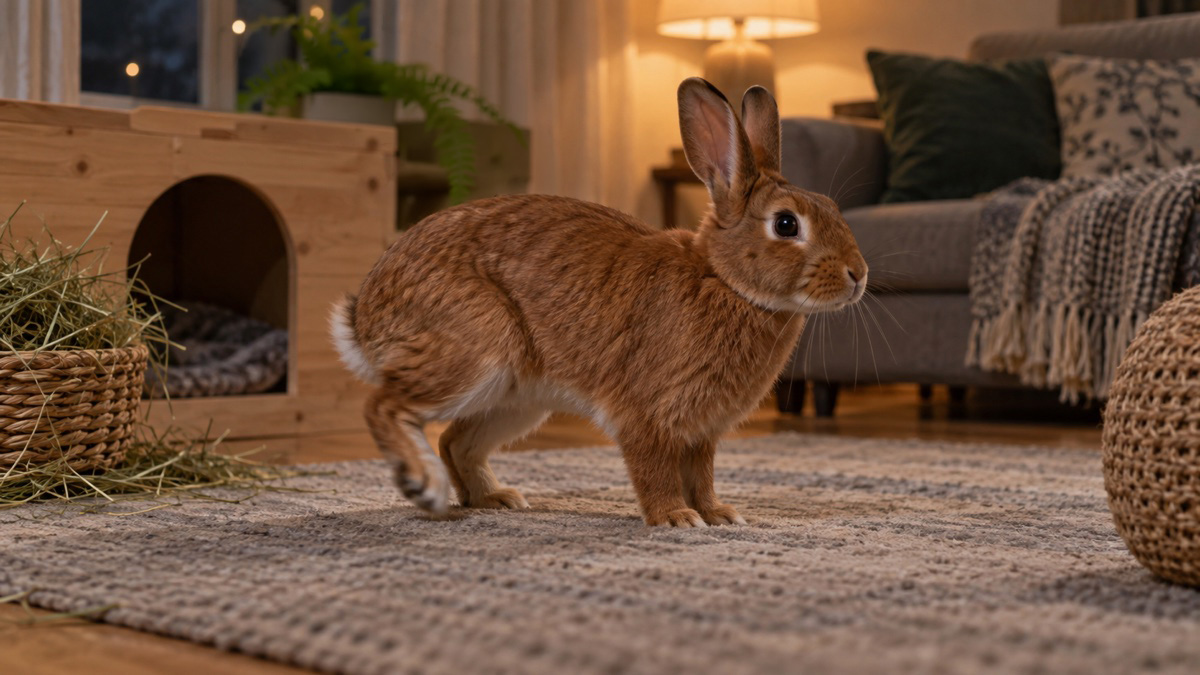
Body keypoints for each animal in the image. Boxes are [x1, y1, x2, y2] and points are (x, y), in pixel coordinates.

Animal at [330, 78, 867, 526]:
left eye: (833, 209)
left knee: (454, 440)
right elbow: (654, 470)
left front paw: (718, 514)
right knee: (385, 405)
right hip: (472, 350)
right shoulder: (647, 414)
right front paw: (676, 518)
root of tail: (367, 316)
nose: (858, 275)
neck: (723, 279)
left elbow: (702, 475)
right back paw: (423, 485)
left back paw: (496, 499)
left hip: (517, 398)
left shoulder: (701, 433)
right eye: (786, 224)